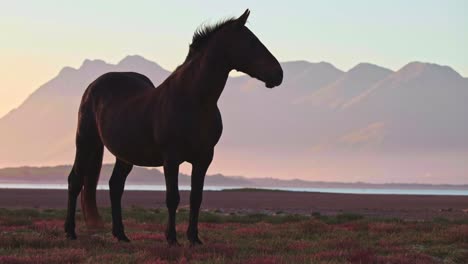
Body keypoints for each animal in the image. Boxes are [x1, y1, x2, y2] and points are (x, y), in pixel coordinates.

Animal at [64, 9, 284, 246]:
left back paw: (121, 235)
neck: (194, 100)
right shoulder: (171, 158)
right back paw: (70, 232)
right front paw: (171, 238)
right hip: (86, 142)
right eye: (251, 42)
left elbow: (196, 198)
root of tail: (93, 86)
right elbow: (173, 198)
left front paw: (194, 238)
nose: (278, 74)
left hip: (125, 154)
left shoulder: (204, 158)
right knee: (75, 180)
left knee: (116, 187)